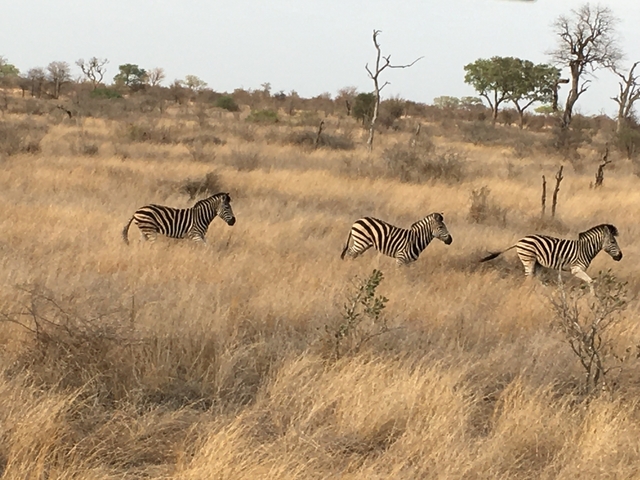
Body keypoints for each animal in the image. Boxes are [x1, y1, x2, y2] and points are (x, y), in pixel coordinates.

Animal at [480, 224, 622, 288]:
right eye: (612, 242)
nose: (620, 257)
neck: (585, 249)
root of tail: (519, 241)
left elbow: (590, 281)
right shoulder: (576, 269)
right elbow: (591, 281)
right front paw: (594, 298)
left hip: (537, 263)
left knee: (535, 279)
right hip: (528, 259)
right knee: (528, 279)